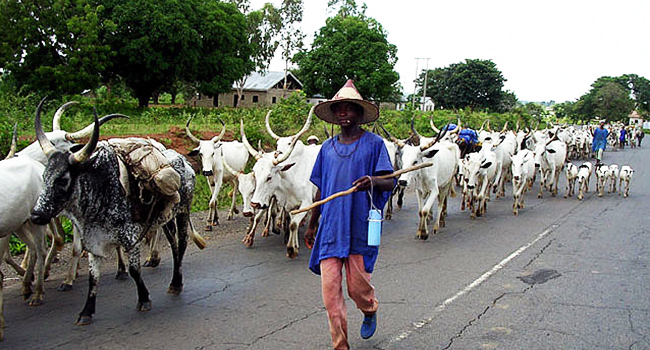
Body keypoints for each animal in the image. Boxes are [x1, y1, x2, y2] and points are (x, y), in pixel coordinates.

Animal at [30, 102, 197, 326]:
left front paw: (144, 299)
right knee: (174, 244)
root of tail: (184, 162)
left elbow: (134, 271)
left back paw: (176, 283)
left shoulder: (131, 237)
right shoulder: (94, 241)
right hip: (165, 217)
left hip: (183, 211)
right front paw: (86, 312)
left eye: (63, 179)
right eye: (44, 176)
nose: (36, 215)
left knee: (183, 242)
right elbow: (93, 278)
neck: (100, 190)